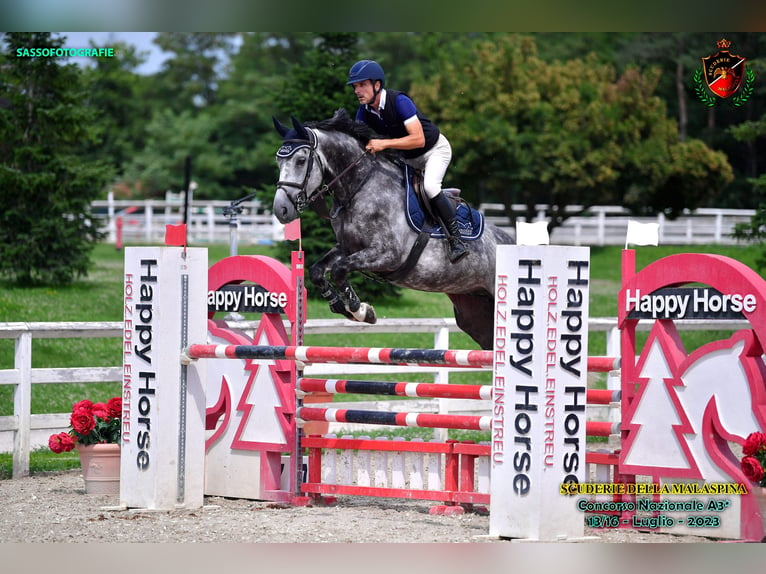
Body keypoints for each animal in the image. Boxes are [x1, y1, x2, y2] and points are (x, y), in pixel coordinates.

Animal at [272, 108, 520, 352]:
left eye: (301, 160)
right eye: (278, 161)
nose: (281, 210)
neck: (358, 188)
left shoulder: (388, 255)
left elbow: (340, 270)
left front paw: (360, 310)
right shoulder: (347, 247)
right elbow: (317, 271)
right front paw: (343, 307)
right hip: (474, 310)